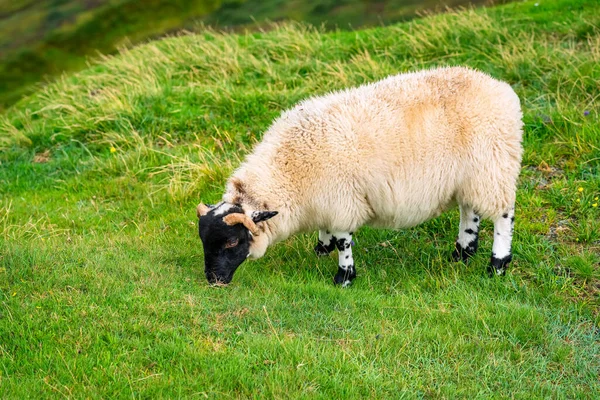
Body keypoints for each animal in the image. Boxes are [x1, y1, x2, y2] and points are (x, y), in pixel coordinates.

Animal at [197, 67, 520, 288]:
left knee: (503, 215)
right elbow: (327, 231)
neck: (288, 170)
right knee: (470, 210)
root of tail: (501, 89)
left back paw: (497, 265)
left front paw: (343, 277)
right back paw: (462, 253)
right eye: (203, 240)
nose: (214, 280)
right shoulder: (325, 197)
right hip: (472, 174)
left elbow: (343, 241)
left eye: (231, 243)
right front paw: (321, 249)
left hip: (494, 167)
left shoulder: (341, 199)